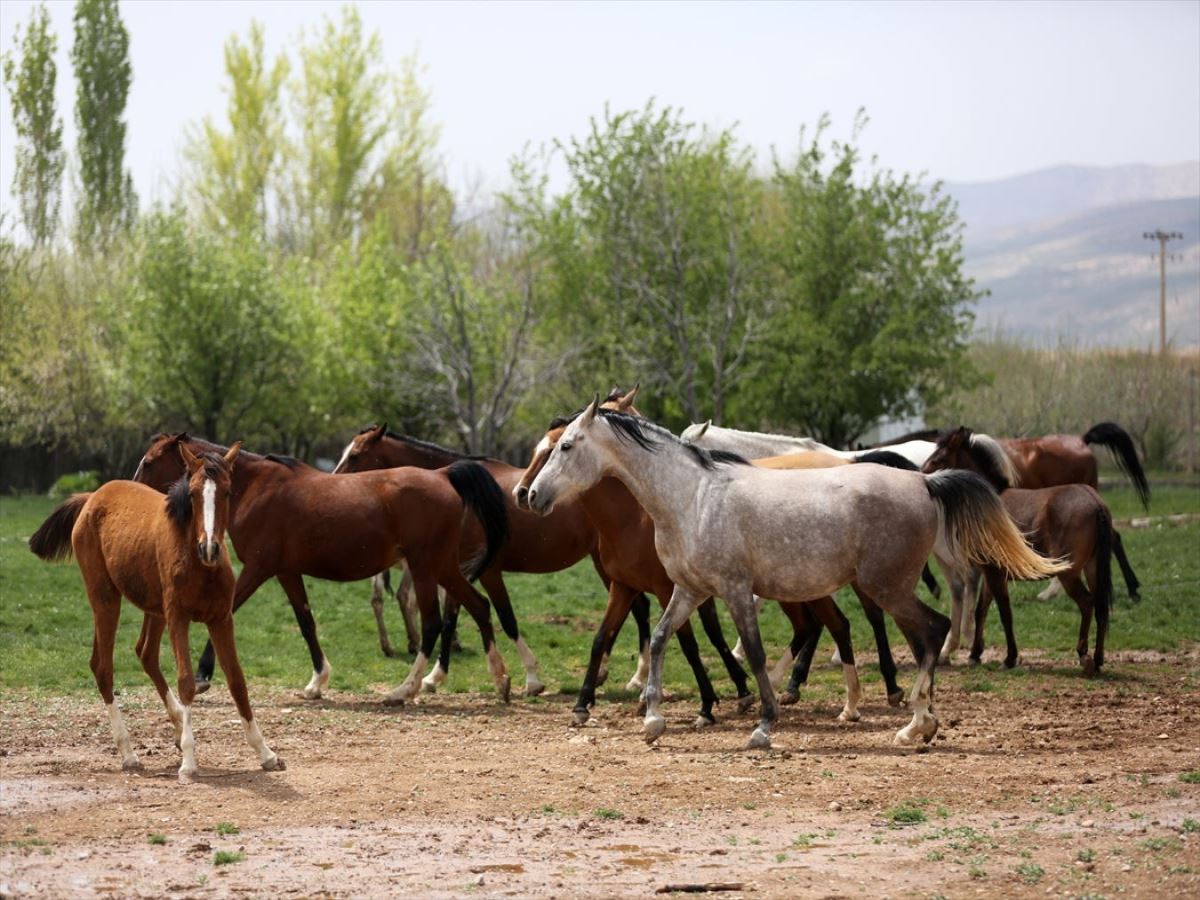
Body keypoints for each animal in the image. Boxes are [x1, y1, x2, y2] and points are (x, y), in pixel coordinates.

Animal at [29, 444, 283, 782]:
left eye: (228, 492)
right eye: (192, 494)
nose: (210, 548)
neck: (200, 566)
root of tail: (91, 497)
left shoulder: (221, 619)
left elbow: (237, 681)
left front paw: (266, 753)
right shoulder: (179, 618)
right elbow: (187, 681)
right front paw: (189, 763)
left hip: (153, 609)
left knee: (145, 653)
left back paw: (175, 725)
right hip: (106, 598)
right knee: (103, 666)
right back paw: (129, 754)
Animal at [133, 434, 513, 705]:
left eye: (149, 461)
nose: (130, 487)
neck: (254, 488)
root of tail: (444, 474)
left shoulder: (257, 568)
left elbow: (230, 611)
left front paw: (202, 676)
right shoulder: (285, 572)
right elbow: (306, 621)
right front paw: (317, 681)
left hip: (424, 567)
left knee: (434, 622)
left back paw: (404, 690)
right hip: (443, 565)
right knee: (478, 606)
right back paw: (501, 681)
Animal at [328, 424, 609, 696]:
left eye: (354, 456)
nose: (334, 482)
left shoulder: (486, 571)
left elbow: (505, 618)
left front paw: (531, 678)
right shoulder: (457, 570)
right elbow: (451, 618)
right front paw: (435, 676)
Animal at [921, 429, 1118, 676]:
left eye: (938, 459)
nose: (919, 478)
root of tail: (1095, 503)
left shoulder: (994, 573)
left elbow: (1005, 613)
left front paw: (1009, 657)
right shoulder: (992, 572)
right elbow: (981, 610)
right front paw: (975, 654)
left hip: (1069, 573)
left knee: (1087, 603)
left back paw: (1084, 655)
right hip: (1093, 567)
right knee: (1101, 607)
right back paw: (1099, 659)